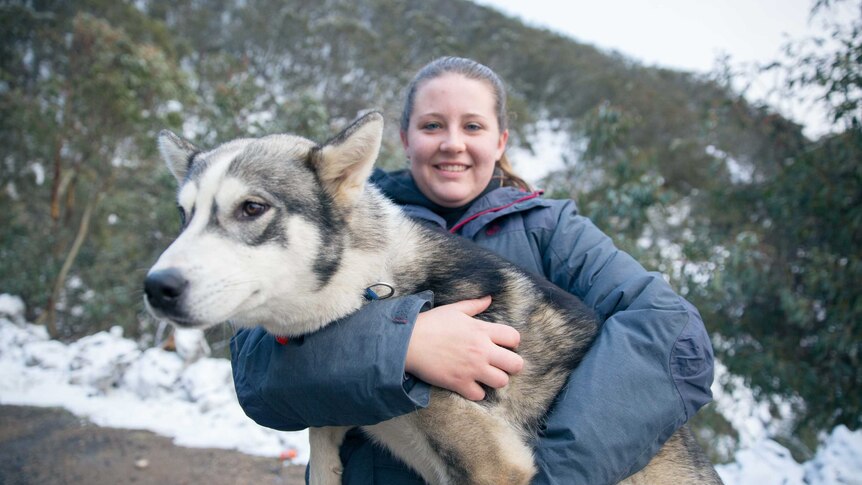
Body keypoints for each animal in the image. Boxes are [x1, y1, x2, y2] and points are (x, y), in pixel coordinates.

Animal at [143, 111, 724, 482]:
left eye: (252, 208)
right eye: (184, 214)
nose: (157, 287)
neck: (374, 285)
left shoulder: (497, 465)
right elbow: (322, 428)